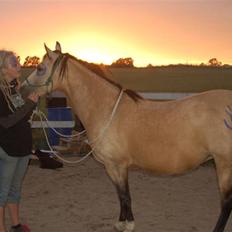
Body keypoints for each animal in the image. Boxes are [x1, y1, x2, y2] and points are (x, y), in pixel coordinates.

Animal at [20, 42, 232, 232]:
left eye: (40, 68)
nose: (20, 89)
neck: (106, 109)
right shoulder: (112, 167)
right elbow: (120, 195)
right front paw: (121, 222)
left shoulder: (118, 165)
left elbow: (125, 195)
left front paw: (128, 224)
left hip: (223, 163)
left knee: (226, 202)